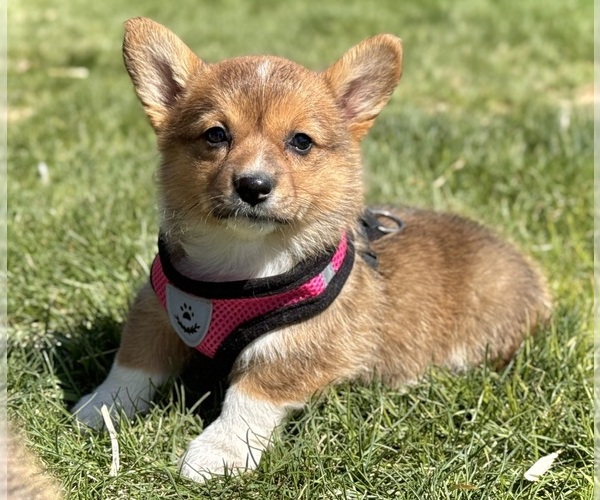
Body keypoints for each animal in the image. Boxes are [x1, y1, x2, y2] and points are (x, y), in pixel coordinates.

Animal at [72, 17, 552, 482]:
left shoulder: (294, 348)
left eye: (301, 141)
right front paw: (99, 408)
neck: (239, 262)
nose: (253, 185)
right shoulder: (154, 311)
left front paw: (217, 452)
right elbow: (131, 366)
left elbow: (249, 399)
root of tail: (526, 267)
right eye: (215, 135)